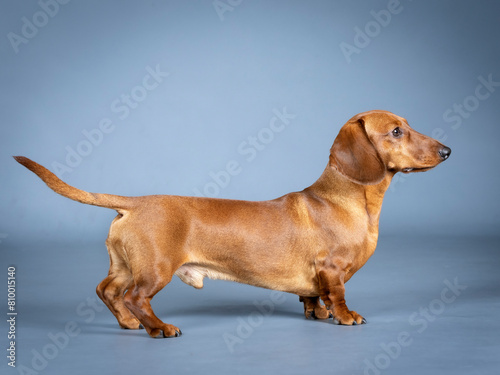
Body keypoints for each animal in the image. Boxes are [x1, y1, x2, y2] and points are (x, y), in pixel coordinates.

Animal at [14, 110, 450, 340]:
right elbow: (338, 296)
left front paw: (317, 314)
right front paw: (345, 317)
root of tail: (134, 202)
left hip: (124, 264)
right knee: (137, 297)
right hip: (155, 268)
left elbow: (313, 299)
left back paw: (127, 323)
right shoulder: (332, 270)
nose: (447, 151)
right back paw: (159, 327)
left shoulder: (316, 279)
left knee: (108, 290)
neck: (345, 198)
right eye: (396, 130)